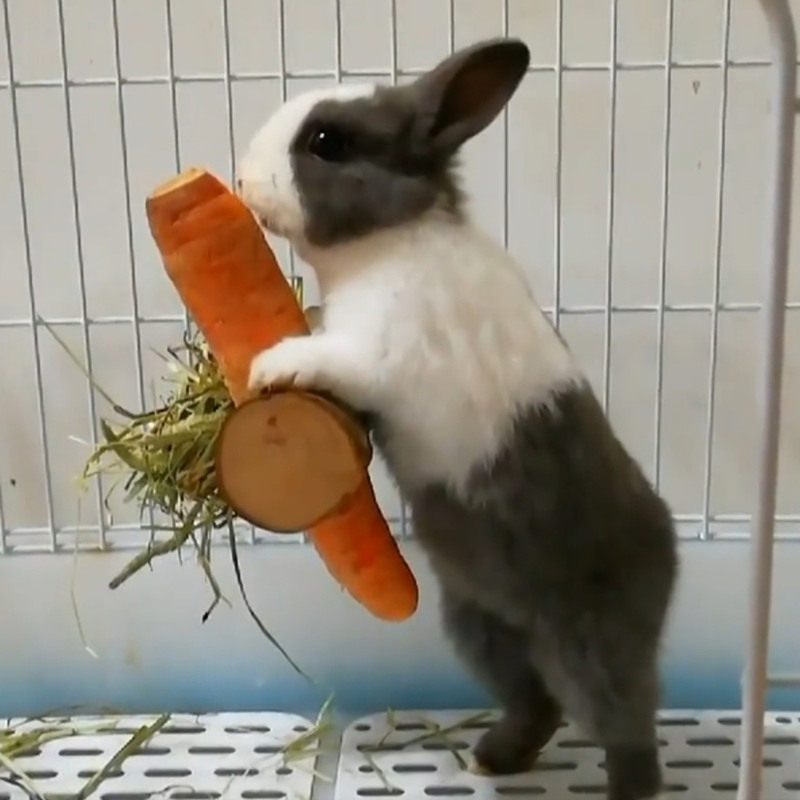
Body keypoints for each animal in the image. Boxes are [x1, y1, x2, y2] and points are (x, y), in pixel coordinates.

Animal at [237, 38, 678, 800]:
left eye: (327, 142)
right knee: (537, 704)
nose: (240, 177)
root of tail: (669, 553)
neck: (392, 239)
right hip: (480, 626)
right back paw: (491, 760)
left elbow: (327, 358)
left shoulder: (376, 354)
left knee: (625, 730)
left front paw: (271, 367)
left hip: (591, 647)